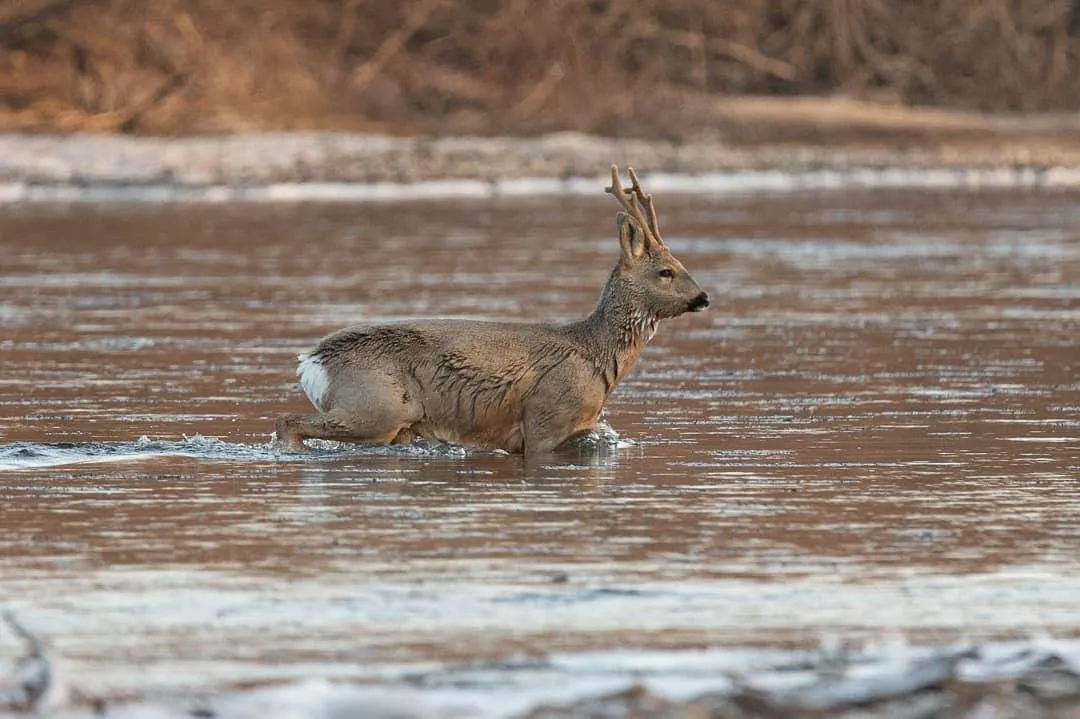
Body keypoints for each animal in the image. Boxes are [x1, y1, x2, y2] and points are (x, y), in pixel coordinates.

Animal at [276, 165, 708, 451]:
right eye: (666, 271)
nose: (704, 298)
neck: (595, 353)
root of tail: (311, 361)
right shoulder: (546, 416)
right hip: (374, 407)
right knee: (288, 421)